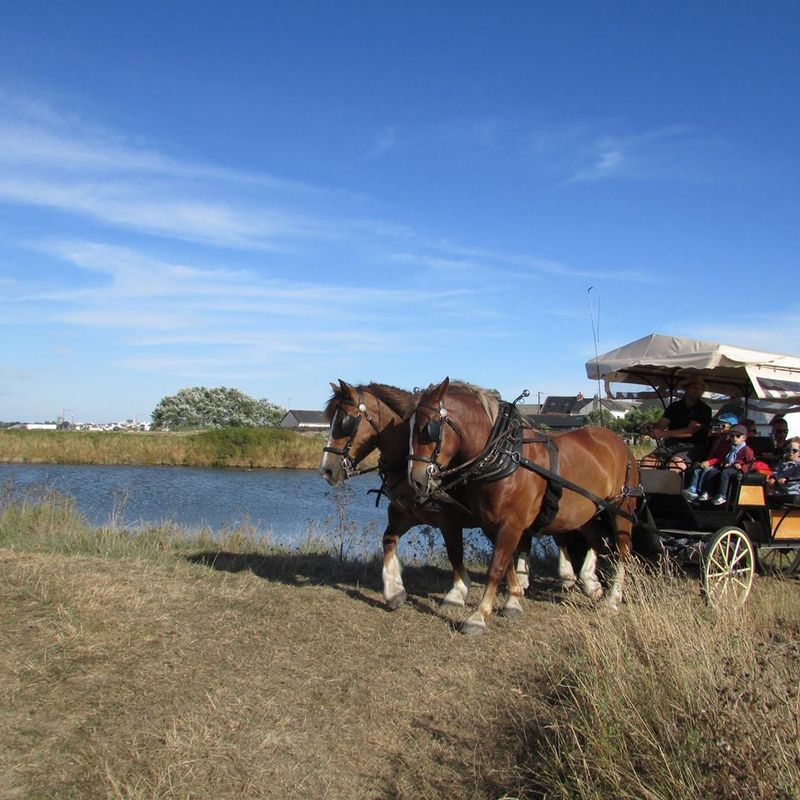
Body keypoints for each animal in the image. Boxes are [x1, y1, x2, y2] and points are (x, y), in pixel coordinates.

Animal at [318, 382, 482, 608]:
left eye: (345, 422)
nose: (326, 470)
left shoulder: (450, 520)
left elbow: (454, 553)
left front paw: (457, 592)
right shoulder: (403, 514)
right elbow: (388, 540)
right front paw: (394, 590)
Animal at [410, 378, 640, 636]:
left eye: (427, 428)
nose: (416, 480)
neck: (503, 455)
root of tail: (618, 441)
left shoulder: (511, 523)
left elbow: (496, 567)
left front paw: (478, 616)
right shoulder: (491, 524)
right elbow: (507, 563)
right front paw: (513, 600)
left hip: (621, 509)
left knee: (623, 551)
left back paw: (612, 599)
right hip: (583, 512)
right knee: (596, 539)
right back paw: (591, 582)